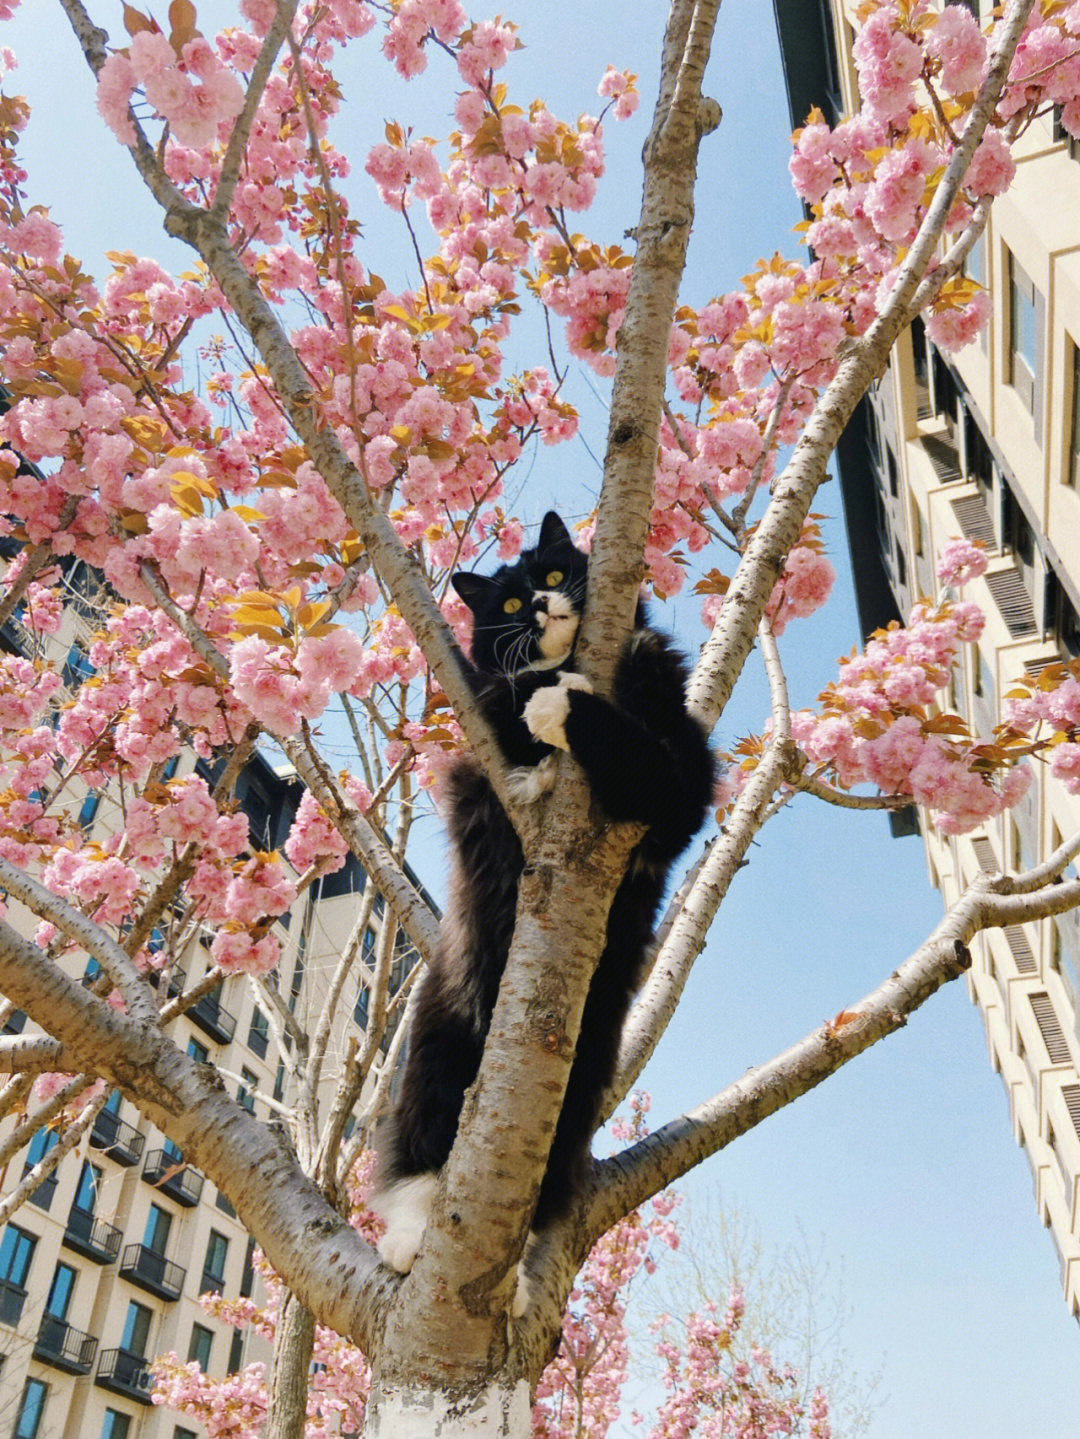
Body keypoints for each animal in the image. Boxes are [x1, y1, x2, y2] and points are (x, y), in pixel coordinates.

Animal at [371, 515, 719, 1283]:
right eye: (503, 605)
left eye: (554, 574)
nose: (534, 604)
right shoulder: (482, 739)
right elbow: (511, 699)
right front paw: (545, 699)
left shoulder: (681, 791)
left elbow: (635, 743)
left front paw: (569, 698)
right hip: (436, 1043)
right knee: (417, 1159)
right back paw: (408, 1241)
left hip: (579, 1081)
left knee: (539, 1192)